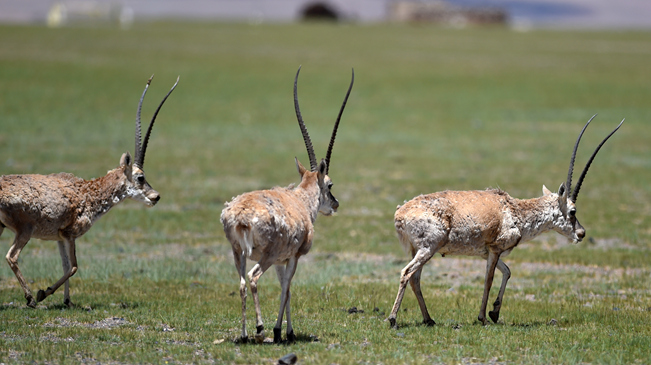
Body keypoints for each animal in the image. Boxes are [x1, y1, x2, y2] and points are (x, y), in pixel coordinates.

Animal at [1, 74, 178, 308]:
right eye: (140, 177)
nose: (155, 197)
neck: (88, 190)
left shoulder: (59, 238)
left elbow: (66, 266)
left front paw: (67, 301)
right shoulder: (70, 234)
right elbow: (74, 266)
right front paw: (43, 293)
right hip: (25, 230)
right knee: (11, 257)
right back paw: (30, 298)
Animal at [220, 67, 354, 342]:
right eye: (330, 184)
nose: (335, 204)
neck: (301, 201)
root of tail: (241, 216)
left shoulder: (282, 262)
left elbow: (286, 288)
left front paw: (285, 330)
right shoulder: (292, 258)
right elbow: (288, 289)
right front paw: (282, 331)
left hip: (238, 253)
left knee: (241, 283)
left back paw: (245, 334)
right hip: (266, 256)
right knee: (253, 278)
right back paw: (260, 329)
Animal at [390, 115, 624, 326]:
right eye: (573, 211)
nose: (581, 233)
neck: (515, 210)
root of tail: (401, 213)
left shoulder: (488, 252)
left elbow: (508, 272)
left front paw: (494, 313)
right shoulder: (495, 250)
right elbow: (488, 280)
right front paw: (484, 317)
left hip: (420, 250)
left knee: (415, 278)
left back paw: (429, 319)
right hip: (428, 248)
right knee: (407, 273)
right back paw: (393, 319)